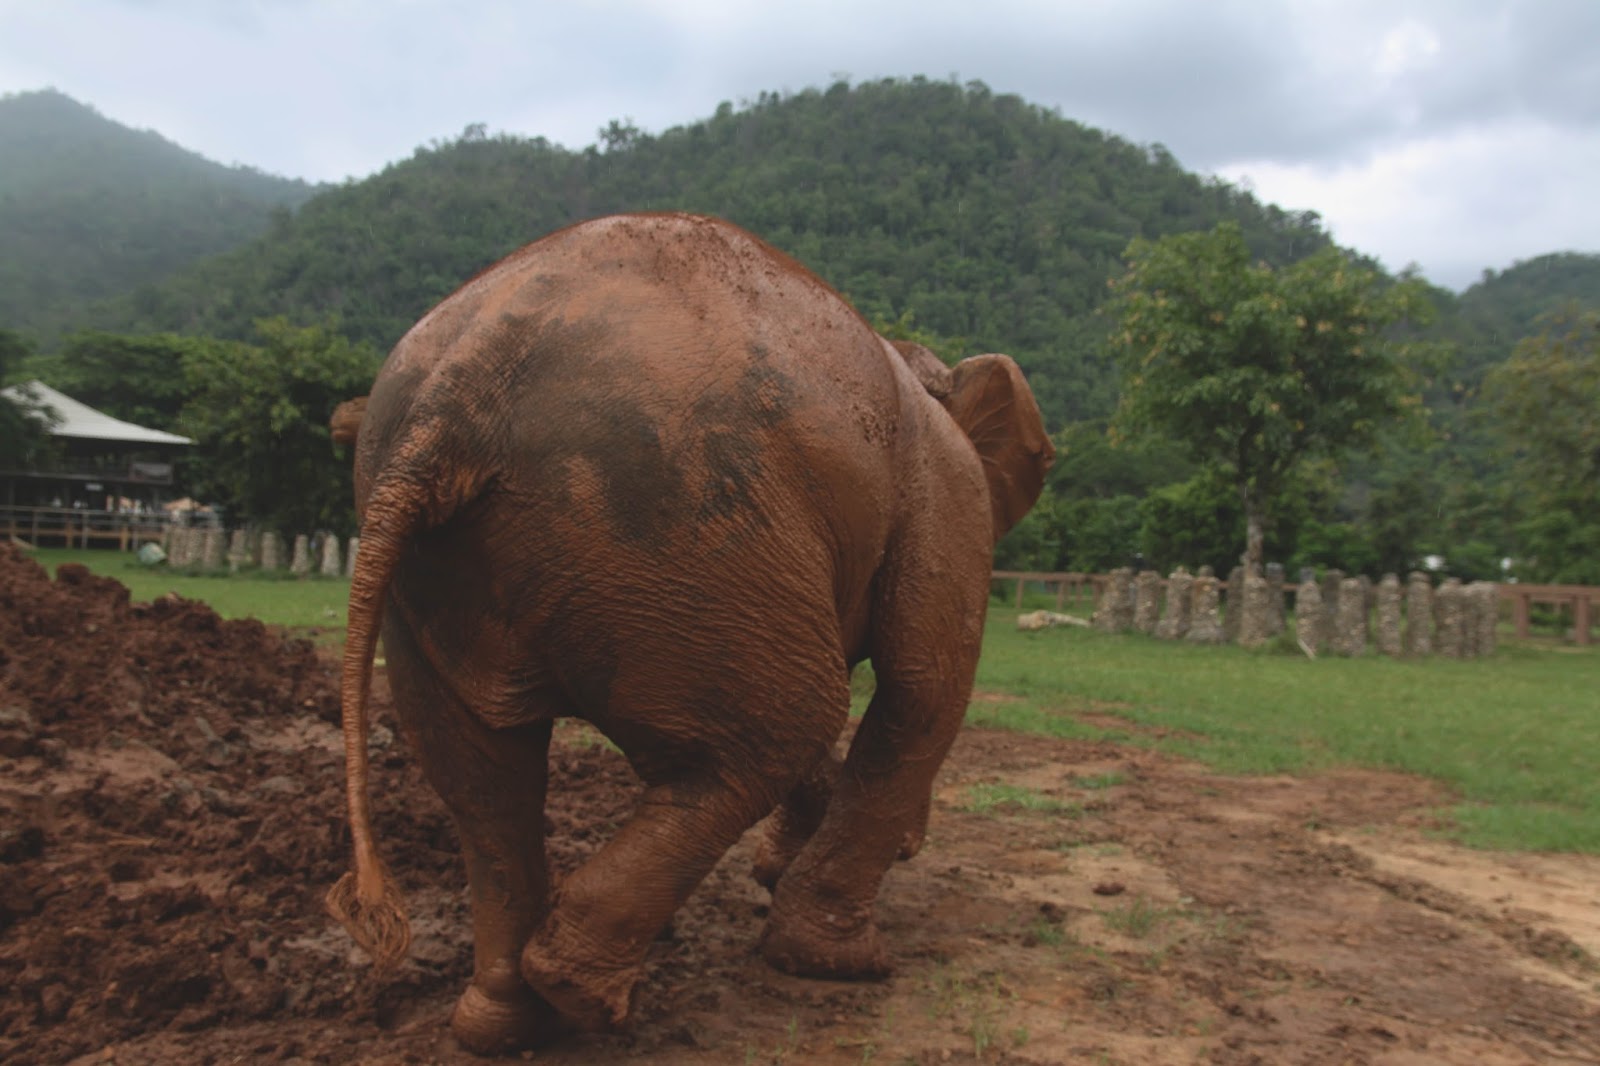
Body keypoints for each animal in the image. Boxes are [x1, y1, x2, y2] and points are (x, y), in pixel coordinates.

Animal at [327, 212, 1053, 1053]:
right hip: (677, 511)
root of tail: (455, 396)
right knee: (781, 724)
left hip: (467, 569)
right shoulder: (948, 491)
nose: (915, 845)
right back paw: (585, 997)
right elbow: (923, 688)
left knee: (484, 783)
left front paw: (778, 874)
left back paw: (502, 1025)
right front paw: (842, 966)